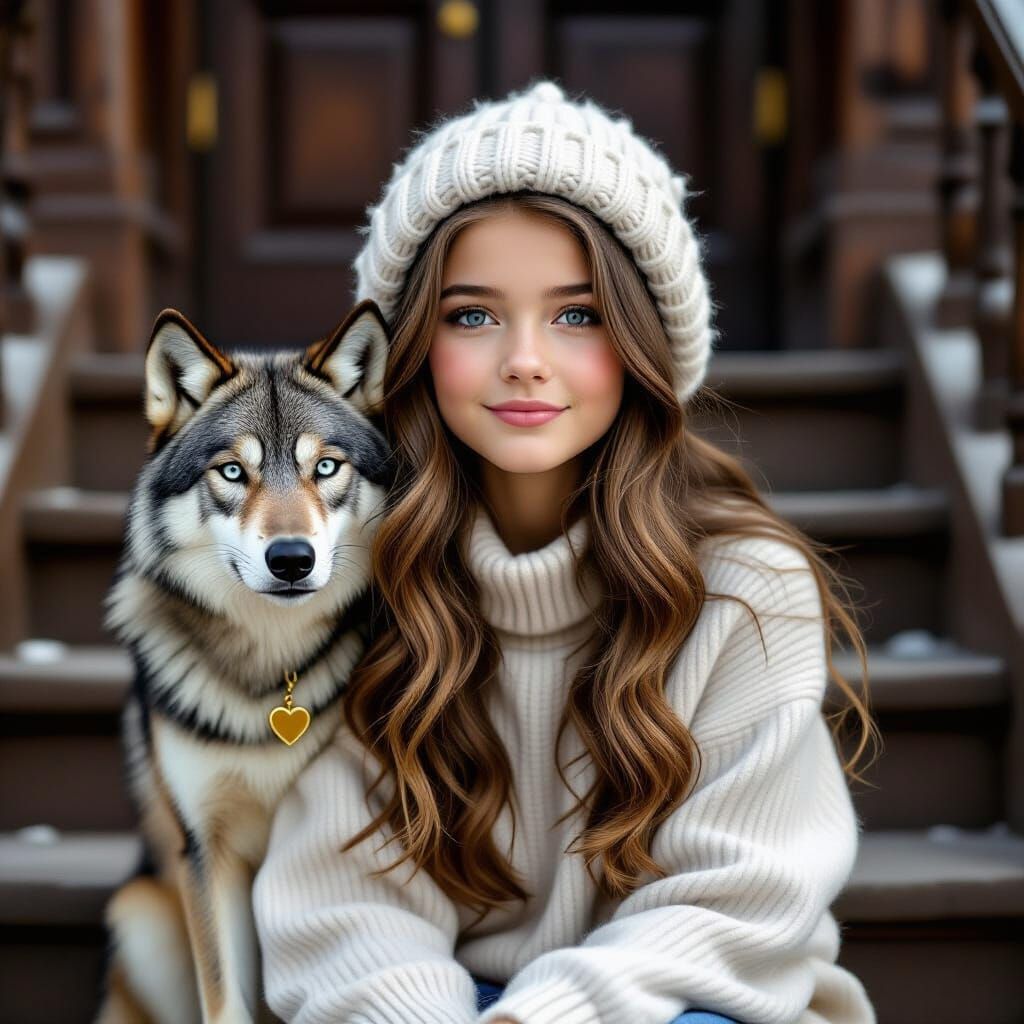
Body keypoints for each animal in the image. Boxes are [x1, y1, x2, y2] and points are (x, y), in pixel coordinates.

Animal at [93, 299, 393, 1024]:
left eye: (325, 468)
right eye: (232, 472)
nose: (291, 559)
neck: (268, 671)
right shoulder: (207, 850)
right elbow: (226, 1001)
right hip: (138, 914)